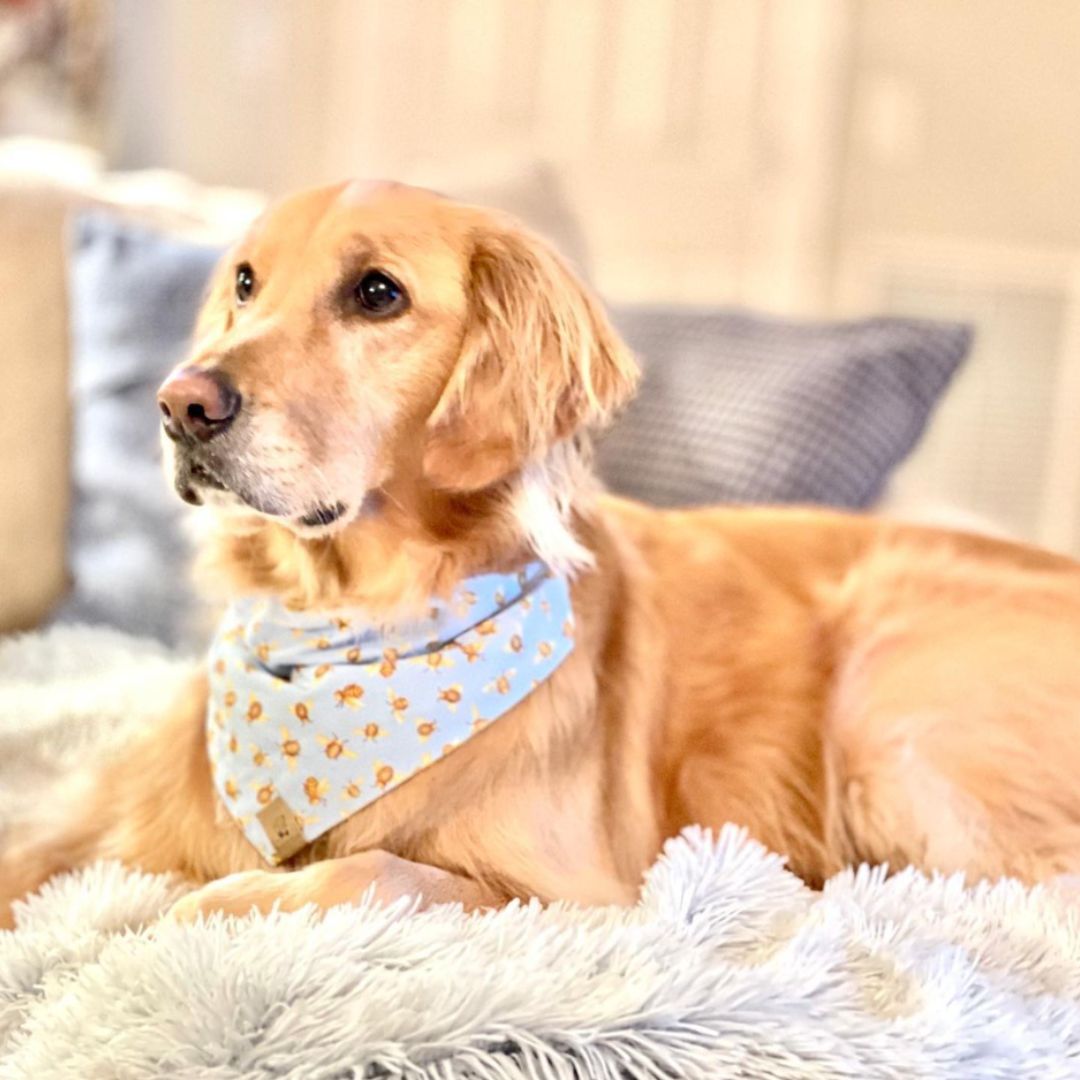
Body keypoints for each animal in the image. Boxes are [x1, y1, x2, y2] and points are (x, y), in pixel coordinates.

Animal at [2, 179, 1080, 928]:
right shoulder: (107, 816)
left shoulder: (575, 897)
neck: (349, 625)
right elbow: (33, 850)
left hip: (895, 706)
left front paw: (208, 905)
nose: (180, 403)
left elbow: (378, 870)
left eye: (377, 294)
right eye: (243, 282)